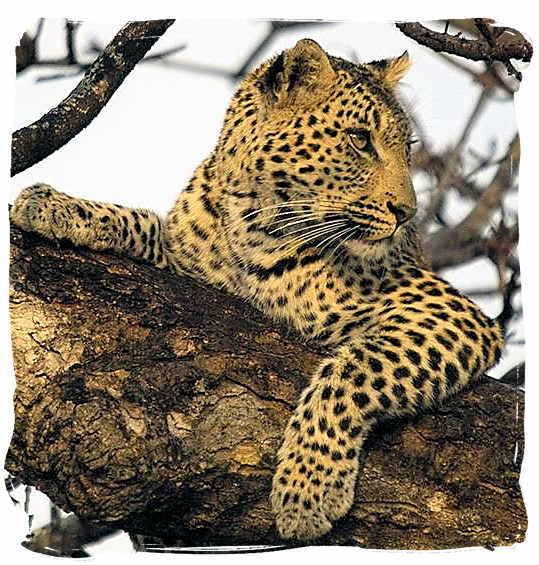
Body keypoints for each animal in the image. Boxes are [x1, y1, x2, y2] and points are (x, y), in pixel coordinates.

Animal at [10, 39, 504, 540]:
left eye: (407, 149)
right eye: (359, 139)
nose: (407, 214)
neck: (257, 223)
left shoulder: (452, 314)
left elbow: (353, 371)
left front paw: (307, 490)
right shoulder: (185, 263)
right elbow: (144, 224)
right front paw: (53, 206)